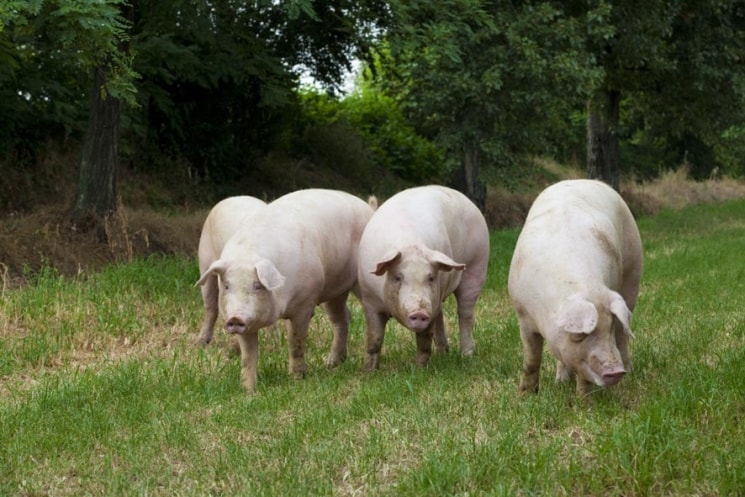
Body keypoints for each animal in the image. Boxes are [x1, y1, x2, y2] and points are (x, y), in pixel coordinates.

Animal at [354, 185, 488, 368]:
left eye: (430, 277)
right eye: (398, 277)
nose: (419, 312)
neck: (409, 244)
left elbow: (424, 341)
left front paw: (419, 369)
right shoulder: (370, 300)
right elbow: (374, 339)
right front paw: (368, 371)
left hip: (477, 265)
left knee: (465, 314)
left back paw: (466, 356)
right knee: (441, 316)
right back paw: (443, 353)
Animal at [508, 178, 644, 396]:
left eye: (609, 326)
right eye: (580, 335)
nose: (616, 371)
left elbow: (583, 372)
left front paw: (584, 399)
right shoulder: (523, 315)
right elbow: (531, 359)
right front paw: (525, 396)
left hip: (633, 273)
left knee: (624, 333)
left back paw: (629, 372)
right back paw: (561, 382)